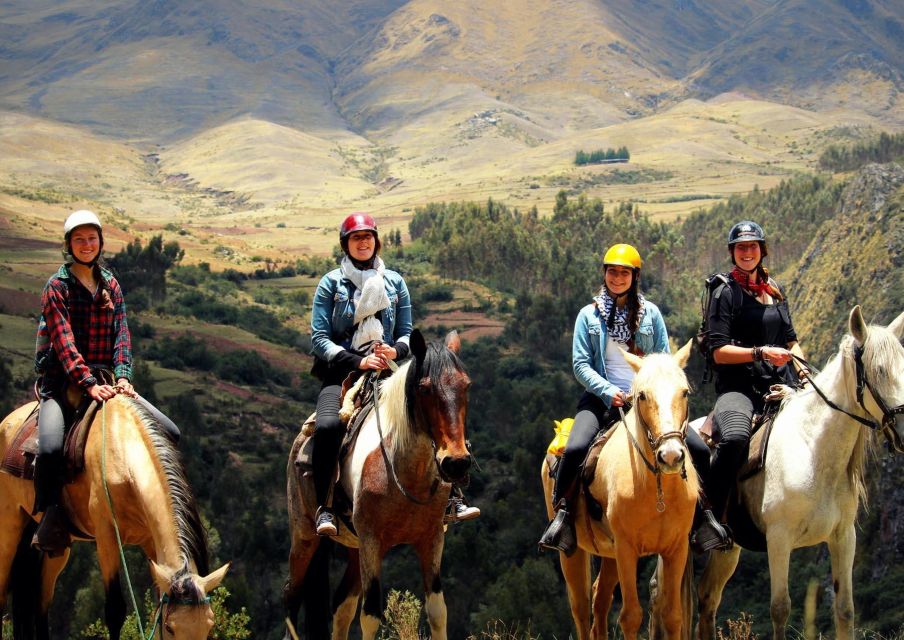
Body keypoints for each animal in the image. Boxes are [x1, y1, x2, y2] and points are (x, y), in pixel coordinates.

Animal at [0, 396, 230, 640]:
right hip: (8, 526)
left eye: (209, 626)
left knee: (40, 602)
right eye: (170, 627)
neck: (123, 453)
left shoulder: (152, 541)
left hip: (55, 547)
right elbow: (114, 610)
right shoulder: (106, 538)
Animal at [286, 330, 474, 640]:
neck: (406, 474)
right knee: (292, 595)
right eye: (424, 389)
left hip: (354, 547)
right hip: (305, 537)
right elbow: (371, 616)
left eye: (466, 386)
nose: (456, 462)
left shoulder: (432, 539)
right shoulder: (372, 541)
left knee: (342, 606)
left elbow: (437, 611)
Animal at [540, 340, 704, 640]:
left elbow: (672, 616)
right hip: (573, 552)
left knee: (599, 600)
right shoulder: (627, 550)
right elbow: (631, 617)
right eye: (642, 396)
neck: (657, 490)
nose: (670, 456)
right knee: (581, 608)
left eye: (684, 392)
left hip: (610, 555)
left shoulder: (676, 548)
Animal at [692, 306, 904, 640]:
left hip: (727, 549)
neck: (812, 452)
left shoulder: (844, 537)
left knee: (707, 598)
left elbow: (845, 610)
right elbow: (780, 609)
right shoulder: (779, 540)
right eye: (880, 370)